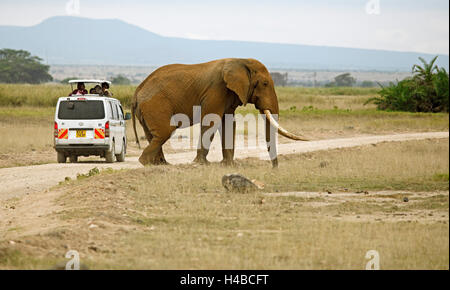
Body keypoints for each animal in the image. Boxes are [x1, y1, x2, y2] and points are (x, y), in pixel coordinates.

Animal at [130, 57, 306, 167]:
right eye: (264, 83)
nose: (274, 168)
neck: (241, 60)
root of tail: (137, 92)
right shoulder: (217, 90)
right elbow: (211, 121)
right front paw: (202, 164)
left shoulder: (229, 93)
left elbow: (228, 124)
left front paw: (229, 165)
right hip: (155, 104)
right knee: (166, 131)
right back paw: (145, 162)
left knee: (154, 134)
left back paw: (159, 164)